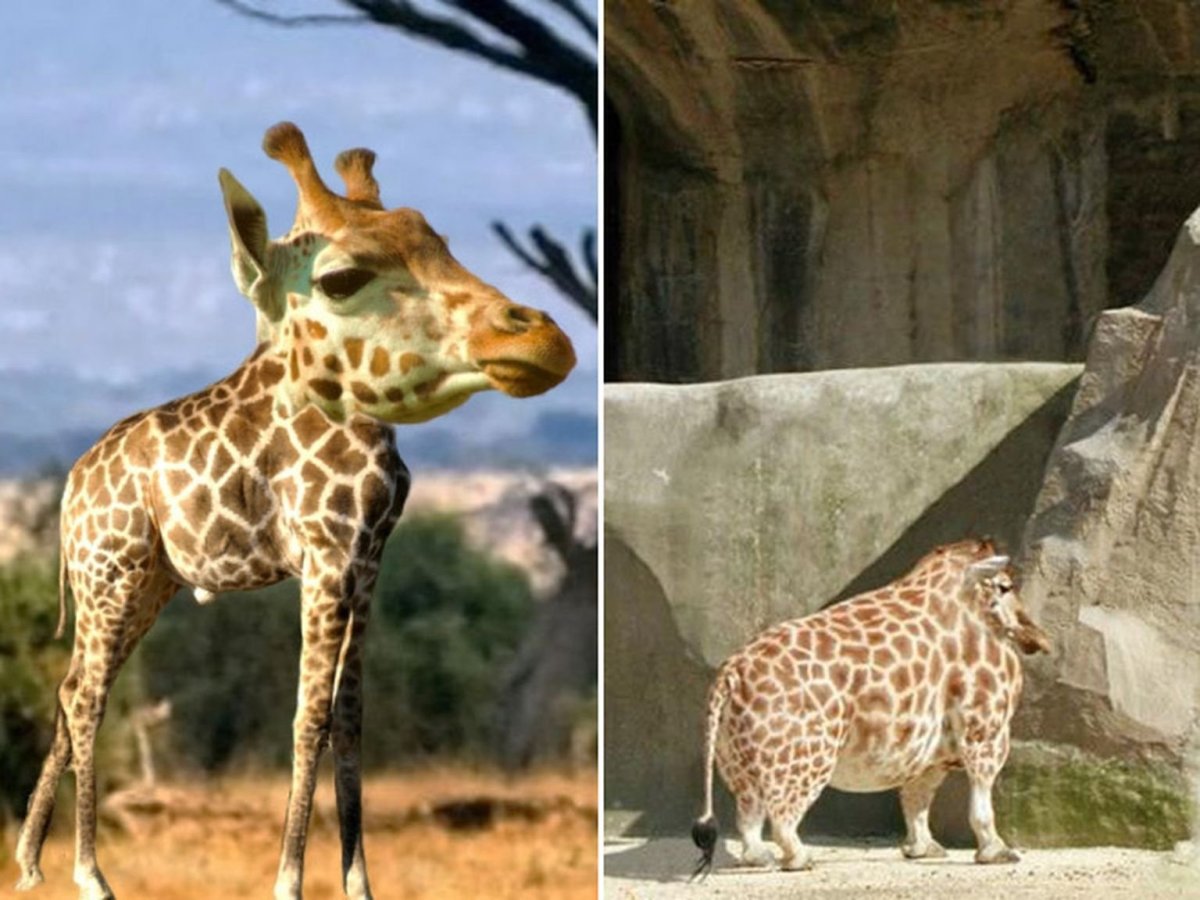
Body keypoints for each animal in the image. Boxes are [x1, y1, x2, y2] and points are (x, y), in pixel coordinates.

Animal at [14, 122, 576, 900]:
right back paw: (90, 874)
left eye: (444, 243)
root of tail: (73, 483)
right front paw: (288, 881)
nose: (540, 339)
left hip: (148, 582)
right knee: (87, 695)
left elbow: (351, 717)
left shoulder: (368, 564)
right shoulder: (325, 556)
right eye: (341, 279)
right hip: (112, 571)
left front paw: (359, 885)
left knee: (71, 687)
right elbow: (308, 716)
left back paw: (30, 862)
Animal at [691, 539, 1052, 877]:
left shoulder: (931, 750)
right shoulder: (985, 730)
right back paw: (801, 859)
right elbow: (980, 803)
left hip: (737, 762)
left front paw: (923, 849)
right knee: (782, 817)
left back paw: (761, 858)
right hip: (804, 758)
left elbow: (916, 798)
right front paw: (997, 852)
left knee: (749, 818)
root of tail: (730, 674)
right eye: (1004, 587)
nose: (1039, 638)